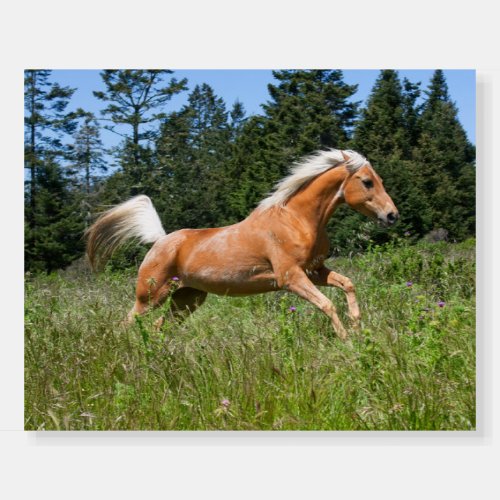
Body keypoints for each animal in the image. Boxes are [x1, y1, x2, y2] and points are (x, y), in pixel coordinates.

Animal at [86, 146, 398, 338]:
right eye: (367, 181)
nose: (392, 215)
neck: (296, 220)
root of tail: (160, 241)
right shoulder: (291, 277)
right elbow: (327, 305)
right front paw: (347, 341)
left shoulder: (315, 271)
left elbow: (348, 285)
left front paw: (357, 327)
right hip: (150, 297)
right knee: (129, 323)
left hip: (187, 299)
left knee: (158, 327)